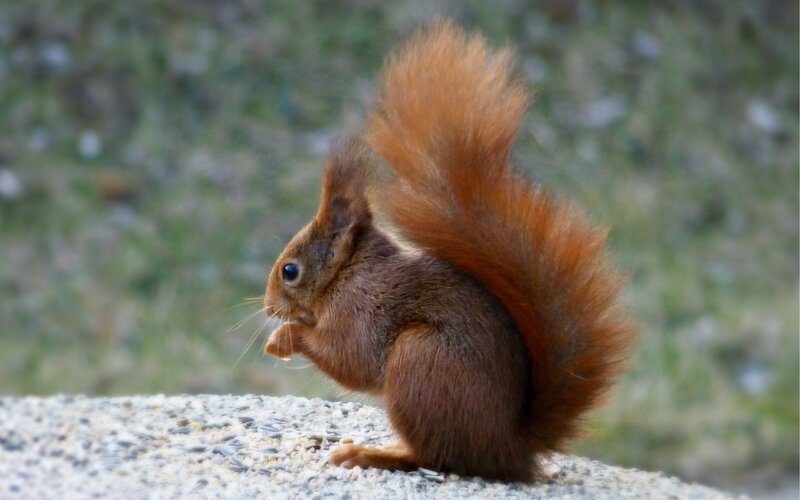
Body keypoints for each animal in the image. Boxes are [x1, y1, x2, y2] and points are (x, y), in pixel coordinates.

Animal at [263, 21, 635, 482]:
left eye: (289, 270)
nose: (268, 308)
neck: (348, 274)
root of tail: (510, 449)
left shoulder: (362, 311)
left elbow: (351, 360)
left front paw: (284, 337)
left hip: (421, 362)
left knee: (435, 456)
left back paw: (373, 454)